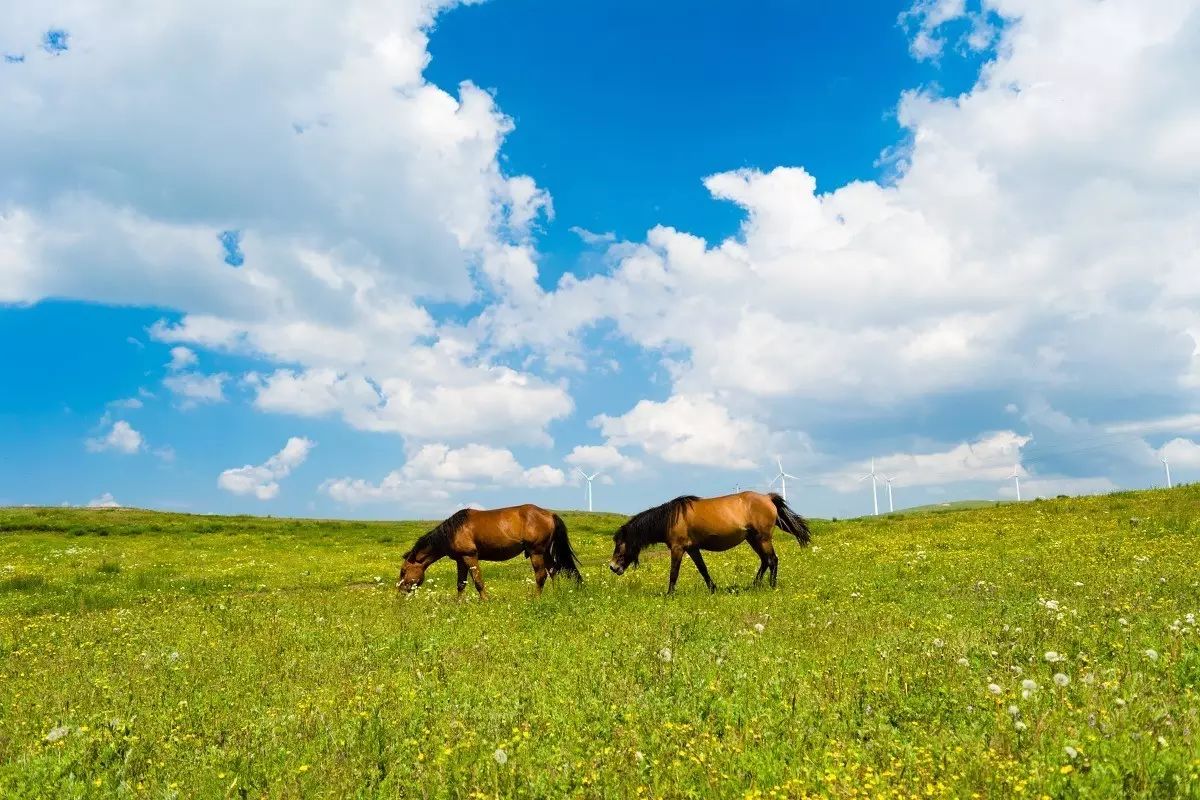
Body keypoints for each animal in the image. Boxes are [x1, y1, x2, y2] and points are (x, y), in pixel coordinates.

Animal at [398, 503, 580, 597]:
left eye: (403, 571)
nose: (400, 591)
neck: (452, 531)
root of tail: (550, 514)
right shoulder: (460, 560)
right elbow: (461, 584)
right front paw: (458, 605)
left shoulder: (470, 556)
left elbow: (478, 582)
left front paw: (484, 601)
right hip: (545, 551)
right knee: (553, 570)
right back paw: (555, 593)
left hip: (536, 552)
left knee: (541, 575)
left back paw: (536, 599)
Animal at [609, 491, 806, 597]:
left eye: (620, 544)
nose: (612, 567)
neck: (671, 519)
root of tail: (767, 497)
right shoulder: (692, 549)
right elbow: (703, 569)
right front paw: (713, 589)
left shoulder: (678, 548)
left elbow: (674, 573)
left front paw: (669, 594)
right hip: (753, 539)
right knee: (765, 561)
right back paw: (754, 585)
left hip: (763, 538)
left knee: (772, 560)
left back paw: (771, 587)